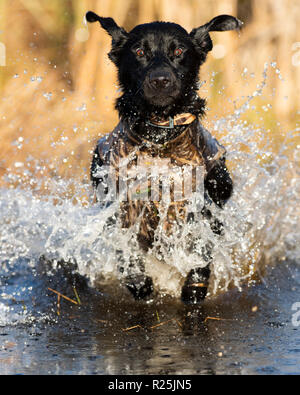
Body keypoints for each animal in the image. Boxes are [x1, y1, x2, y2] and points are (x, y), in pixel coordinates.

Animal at [86, 11, 241, 304]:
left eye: (178, 51)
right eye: (139, 51)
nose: (160, 80)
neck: (159, 136)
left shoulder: (198, 204)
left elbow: (200, 252)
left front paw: (194, 286)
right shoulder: (123, 204)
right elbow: (128, 253)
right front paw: (138, 281)